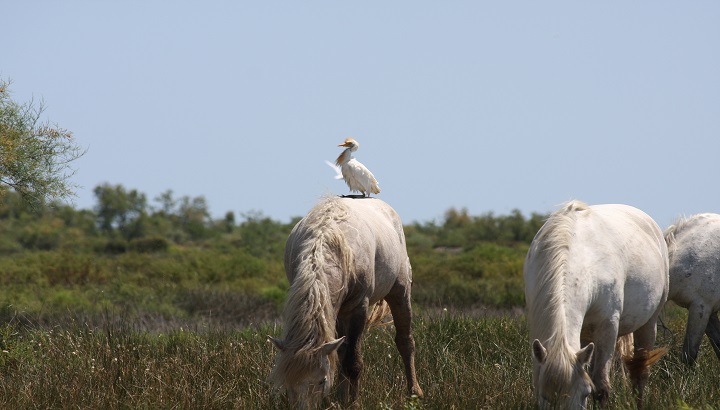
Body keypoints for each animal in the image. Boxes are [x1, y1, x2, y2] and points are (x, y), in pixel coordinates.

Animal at [268, 197, 422, 408]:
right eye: (288, 383)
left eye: (322, 380)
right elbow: (341, 355)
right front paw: (342, 400)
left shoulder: (358, 308)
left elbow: (353, 362)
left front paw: (353, 403)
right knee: (342, 350)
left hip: (400, 292)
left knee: (405, 341)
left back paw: (414, 392)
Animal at [524, 200, 668, 408]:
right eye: (544, 397)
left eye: (585, 393)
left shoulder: (607, 326)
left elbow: (601, 386)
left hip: (649, 323)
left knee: (640, 374)